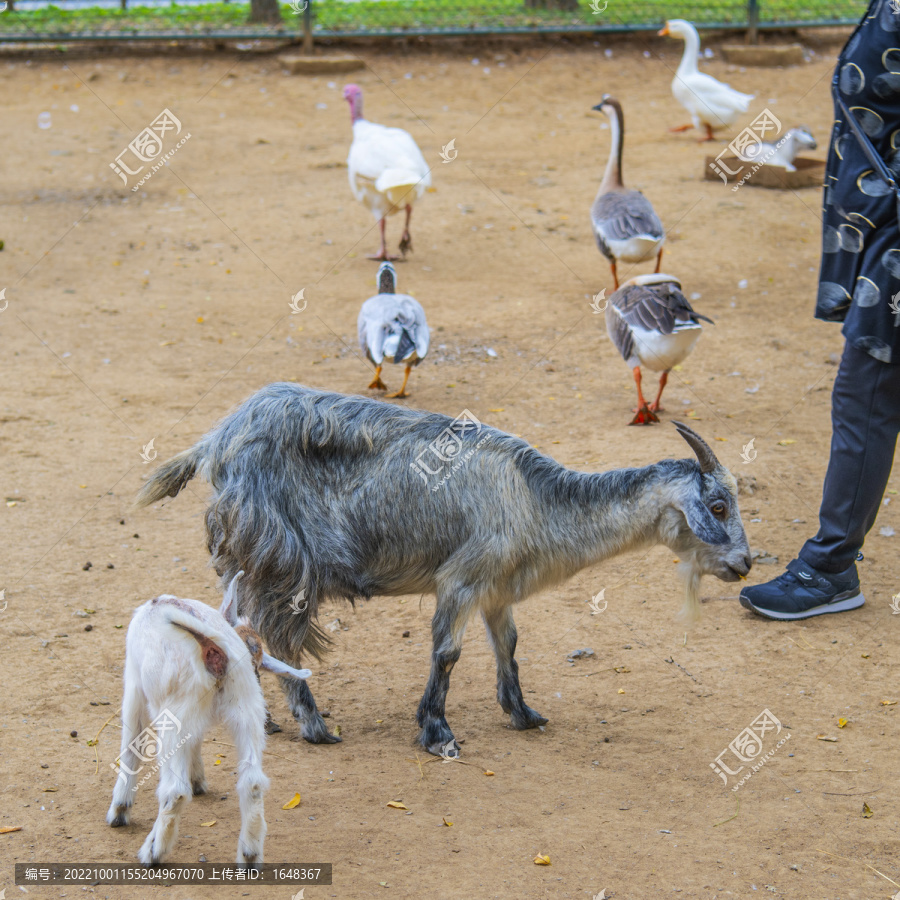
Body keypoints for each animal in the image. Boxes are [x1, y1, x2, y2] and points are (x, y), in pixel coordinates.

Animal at [104, 572, 310, 868]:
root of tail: (213, 648)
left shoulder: (134, 685)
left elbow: (132, 745)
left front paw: (120, 811)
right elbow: (195, 740)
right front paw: (198, 780)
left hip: (173, 714)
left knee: (175, 791)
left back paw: (153, 851)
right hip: (247, 710)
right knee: (253, 782)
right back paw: (249, 855)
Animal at [137, 384, 748, 756]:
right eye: (718, 506)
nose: (743, 564)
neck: (534, 499)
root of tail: (217, 439)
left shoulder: (497, 589)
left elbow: (509, 646)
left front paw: (523, 713)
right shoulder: (460, 579)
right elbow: (448, 652)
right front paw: (436, 730)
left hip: (241, 564)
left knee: (240, 628)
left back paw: (264, 716)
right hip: (282, 559)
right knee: (281, 637)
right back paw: (314, 726)